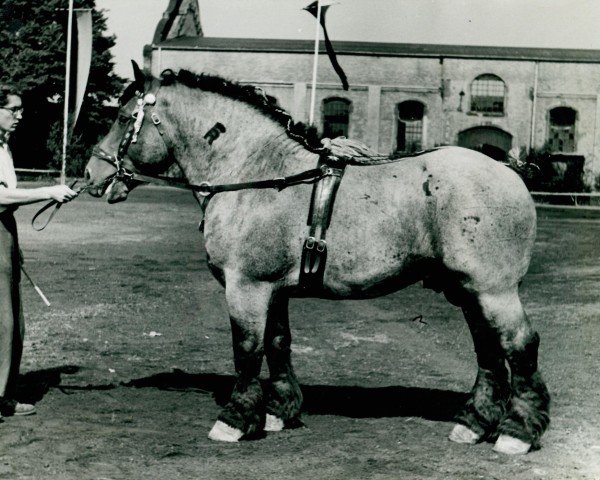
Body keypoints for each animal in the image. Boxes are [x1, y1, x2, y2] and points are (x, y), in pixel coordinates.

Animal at [83, 64, 548, 454]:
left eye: (122, 118)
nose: (91, 174)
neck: (258, 174)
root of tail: (509, 170)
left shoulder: (246, 287)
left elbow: (247, 349)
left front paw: (234, 420)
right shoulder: (272, 290)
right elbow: (277, 343)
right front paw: (279, 412)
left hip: (493, 290)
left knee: (519, 345)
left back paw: (517, 433)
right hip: (466, 289)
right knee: (489, 349)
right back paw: (473, 424)